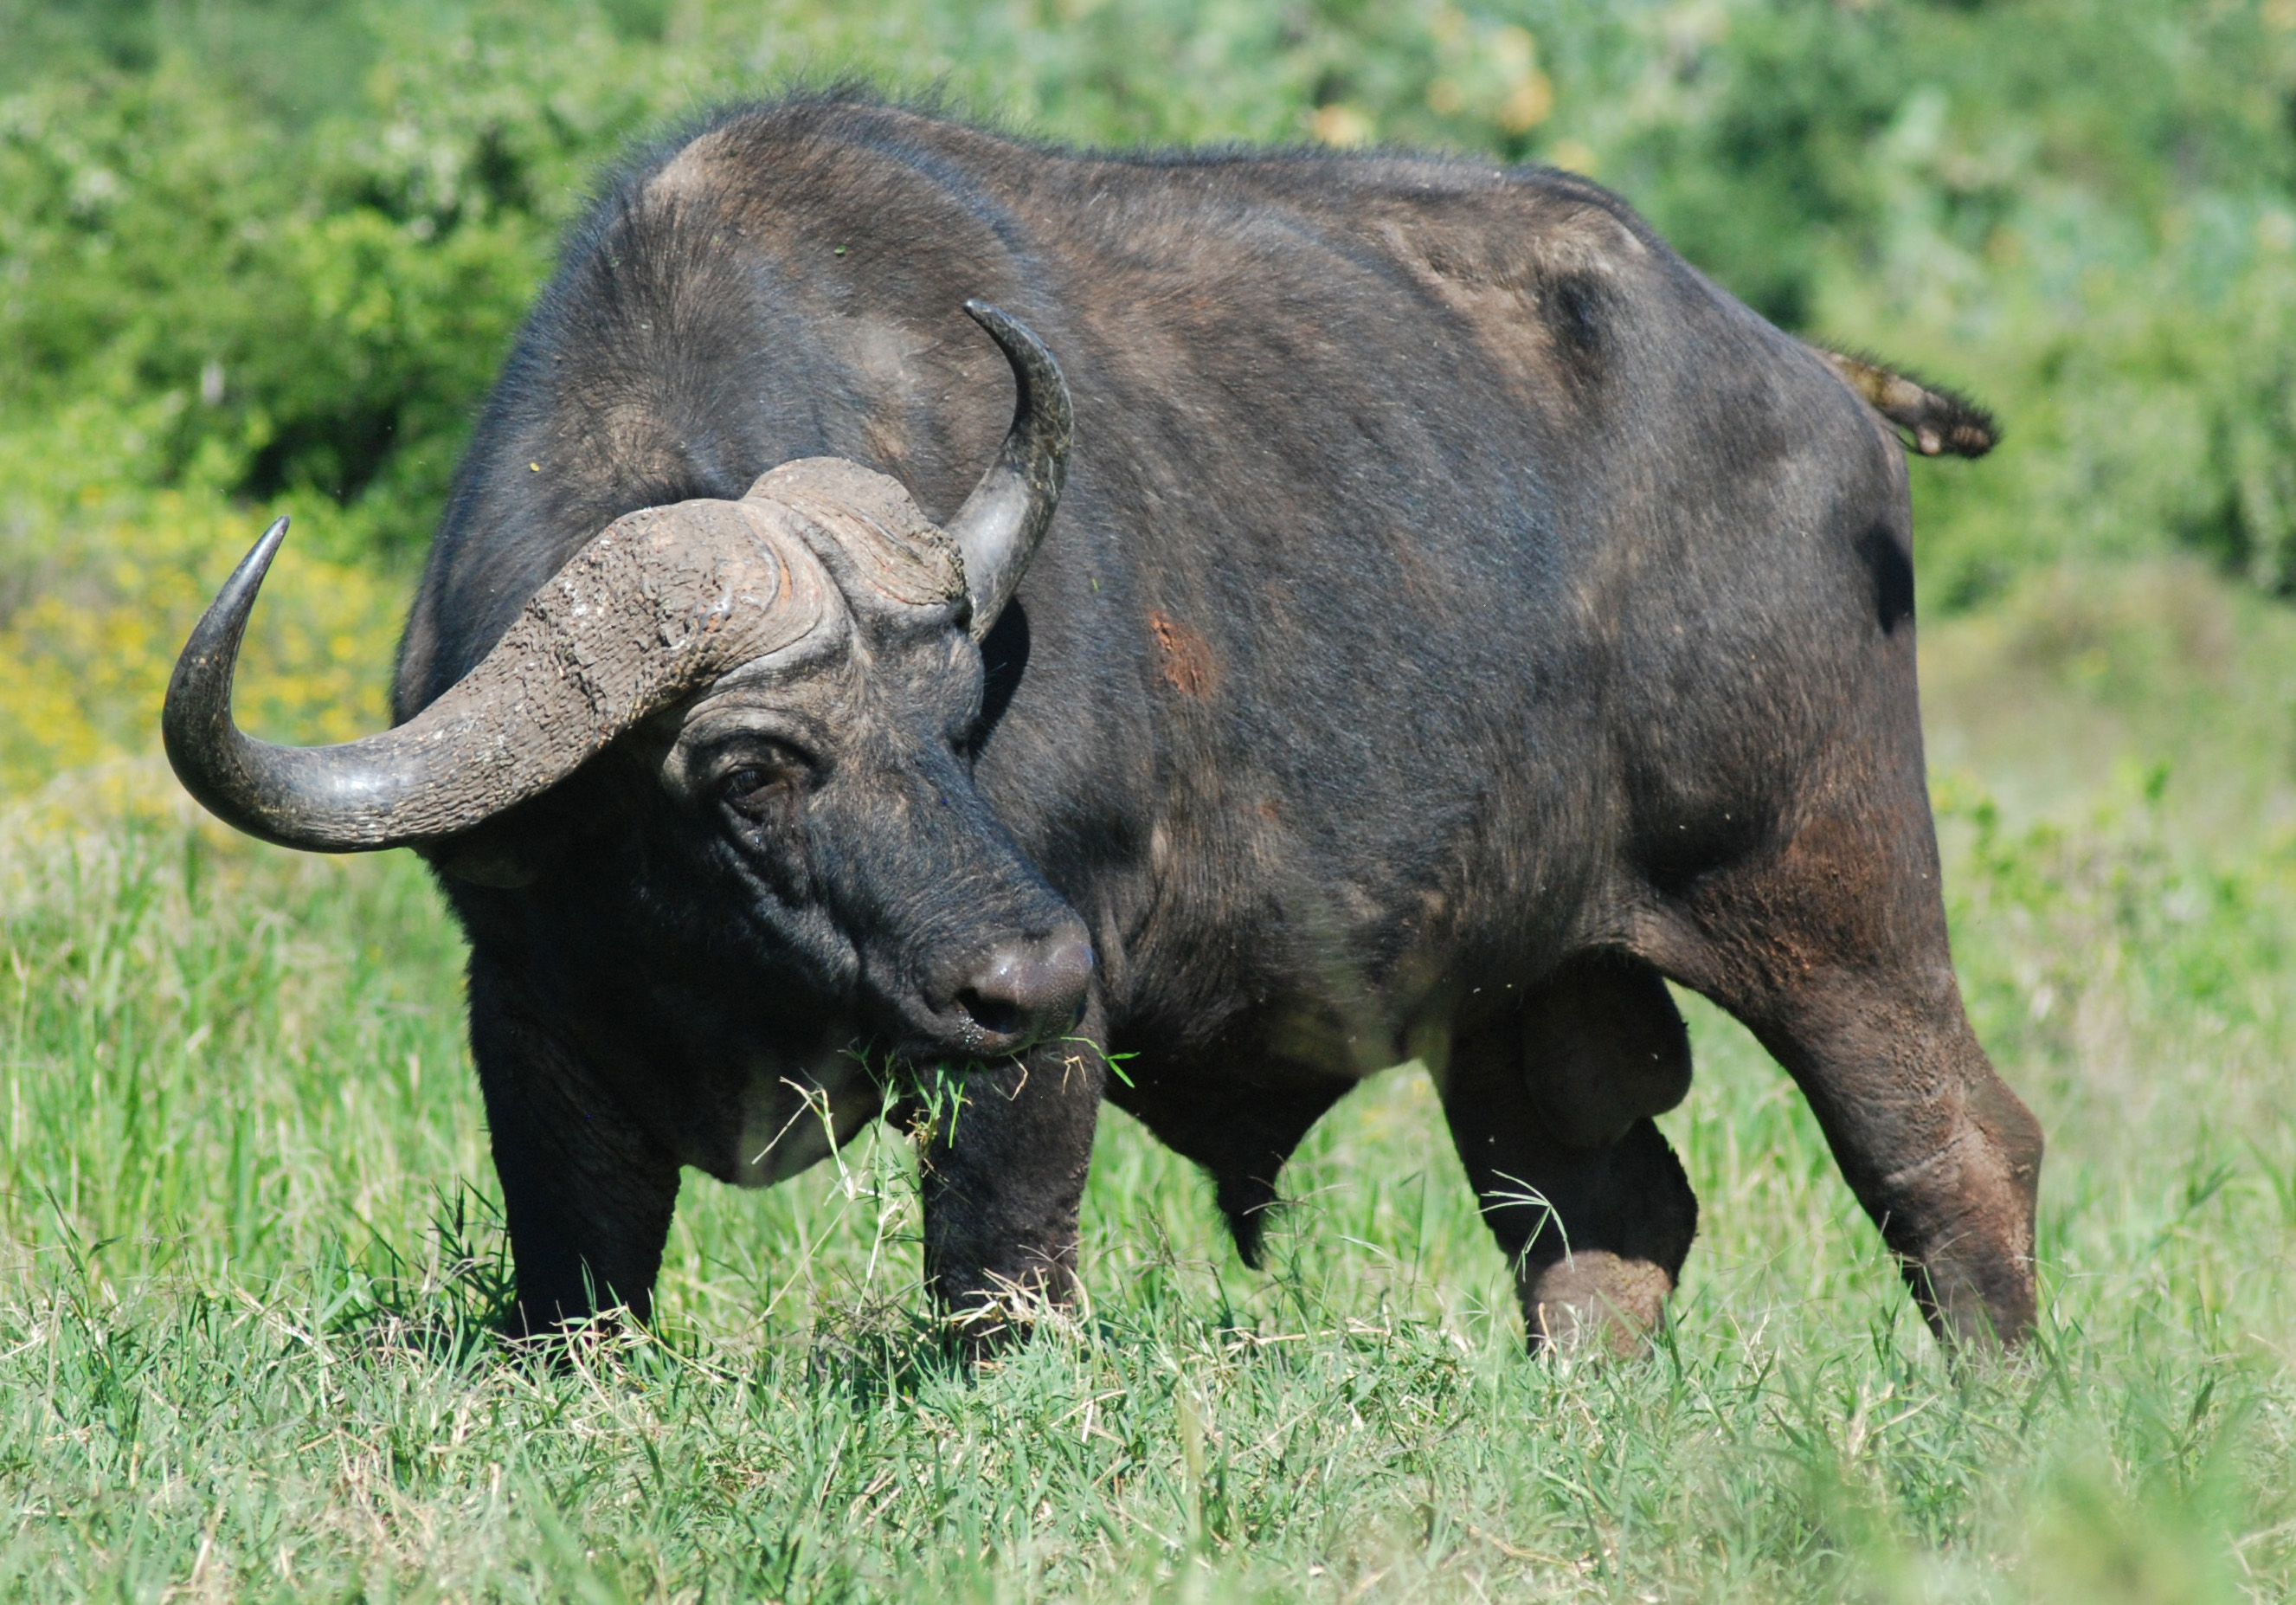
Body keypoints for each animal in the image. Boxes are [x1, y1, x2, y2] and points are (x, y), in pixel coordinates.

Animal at [165, 96, 2041, 1353]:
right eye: (749, 767)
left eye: (952, 720)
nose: (1031, 965)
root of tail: (1810, 376)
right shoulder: (529, 1016)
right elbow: (578, 1280)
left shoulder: (1037, 1052)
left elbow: (996, 1270)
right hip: (1527, 981)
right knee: (1597, 1206)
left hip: (1829, 896)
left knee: (1953, 1150)